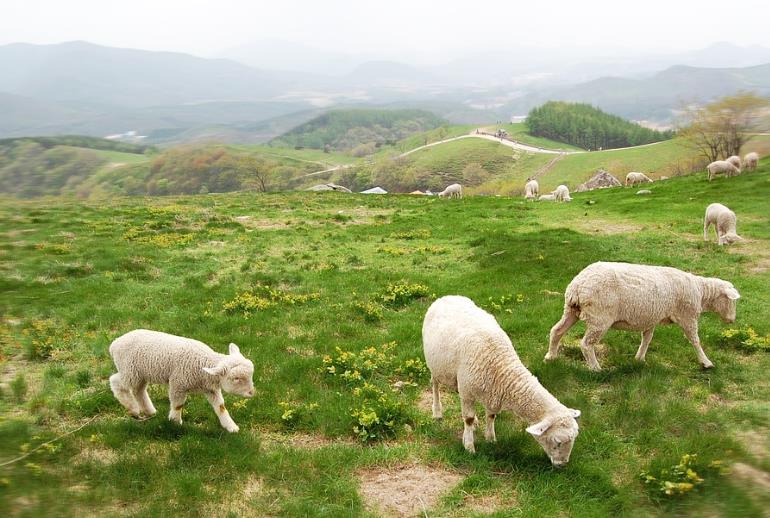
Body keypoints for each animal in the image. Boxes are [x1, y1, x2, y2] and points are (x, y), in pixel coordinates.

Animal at [109, 329, 255, 432]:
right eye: (236, 378)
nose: (252, 393)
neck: (203, 364)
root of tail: (114, 344)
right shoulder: (178, 383)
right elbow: (178, 405)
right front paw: (175, 422)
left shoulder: (211, 389)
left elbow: (220, 407)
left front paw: (231, 426)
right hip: (130, 370)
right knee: (115, 381)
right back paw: (133, 409)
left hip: (140, 374)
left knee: (139, 390)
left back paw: (149, 411)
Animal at [423, 295, 581, 467]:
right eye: (557, 442)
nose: (562, 464)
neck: (501, 367)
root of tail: (447, 297)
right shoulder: (468, 391)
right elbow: (468, 419)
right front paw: (469, 446)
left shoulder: (488, 392)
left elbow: (491, 416)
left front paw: (490, 439)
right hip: (435, 365)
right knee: (435, 385)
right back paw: (437, 412)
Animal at [545, 262, 740, 371]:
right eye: (732, 302)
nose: (732, 320)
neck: (701, 292)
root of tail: (577, 285)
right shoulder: (688, 316)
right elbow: (695, 340)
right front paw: (706, 362)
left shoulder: (651, 316)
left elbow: (647, 338)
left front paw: (639, 358)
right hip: (600, 317)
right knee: (586, 344)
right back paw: (595, 369)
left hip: (571, 310)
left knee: (556, 331)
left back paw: (550, 356)